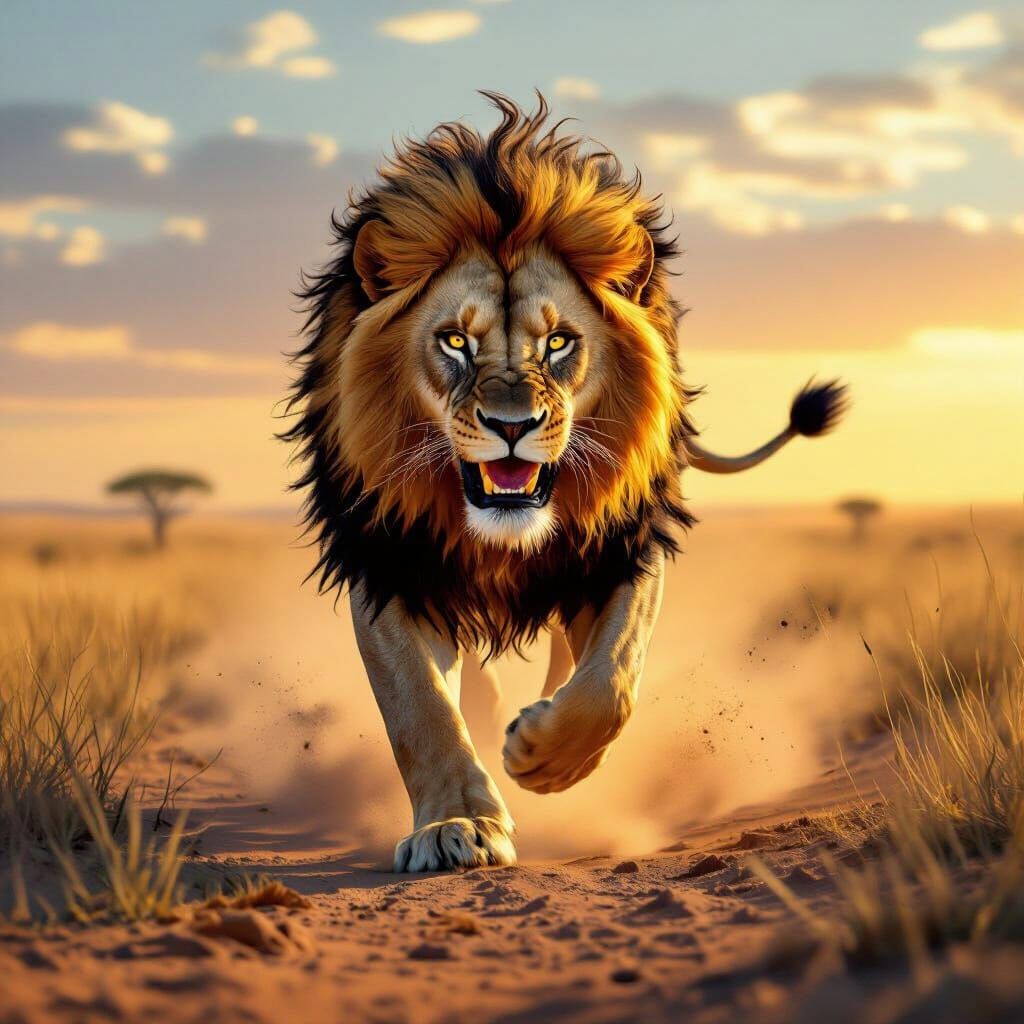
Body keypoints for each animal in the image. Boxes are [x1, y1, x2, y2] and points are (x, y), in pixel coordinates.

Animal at [283, 94, 847, 872]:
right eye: (454, 342)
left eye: (558, 343)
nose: (511, 424)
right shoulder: (387, 559)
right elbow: (422, 710)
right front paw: (455, 825)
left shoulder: (620, 548)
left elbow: (610, 681)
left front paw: (544, 756)